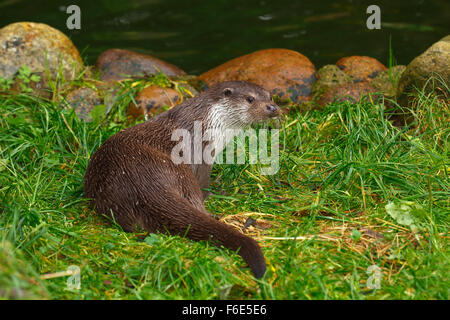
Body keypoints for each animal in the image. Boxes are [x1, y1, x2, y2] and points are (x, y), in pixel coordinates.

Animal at [84, 80, 280, 278]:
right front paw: (219, 191)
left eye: (270, 96)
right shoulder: (203, 153)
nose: (272, 108)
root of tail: (142, 183)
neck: (207, 121)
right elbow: (204, 184)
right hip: (182, 173)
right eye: (250, 99)